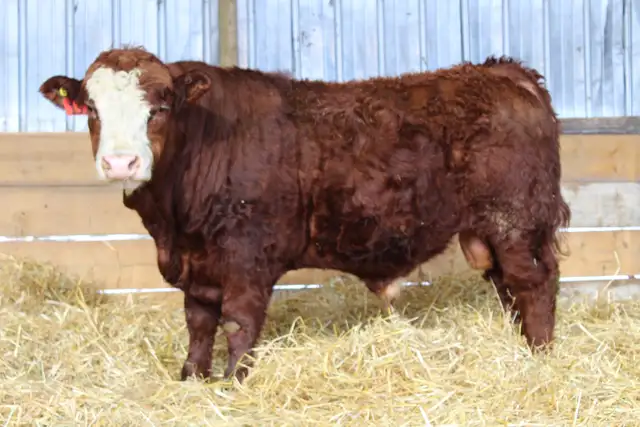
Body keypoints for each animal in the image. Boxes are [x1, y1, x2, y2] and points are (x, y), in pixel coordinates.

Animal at [39, 47, 571, 384]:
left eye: (161, 106)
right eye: (91, 109)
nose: (120, 163)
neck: (173, 224)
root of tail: (505, 72)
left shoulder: (247, 260)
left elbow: (238, 324)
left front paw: (231, 384)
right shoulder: (198, 267)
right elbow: (199, 324)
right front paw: (191, 379)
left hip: (517, 221)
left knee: (534, 284)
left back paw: (541, 357)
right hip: (491, 232)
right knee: (508, 289)